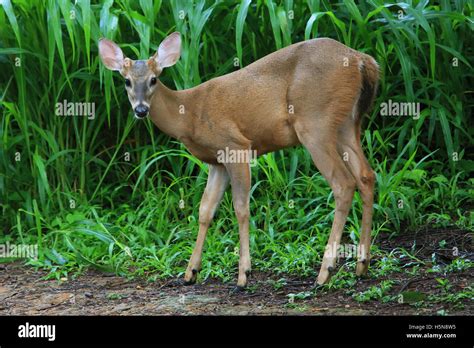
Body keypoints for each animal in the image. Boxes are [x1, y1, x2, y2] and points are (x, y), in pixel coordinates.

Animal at [98, 32, 380, 288]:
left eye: (154, 79)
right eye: (126, 81)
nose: (141, 110)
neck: (189, 114)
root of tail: (361, 59)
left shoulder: (236, 146)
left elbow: (241, 208)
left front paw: (244, 275)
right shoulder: (216, 162)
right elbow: (205, 210)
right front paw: (191, 272)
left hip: (315, 122)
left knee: (343, 183)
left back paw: (325, 272)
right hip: (347, 124)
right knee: (366, 176)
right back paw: (361, 265)